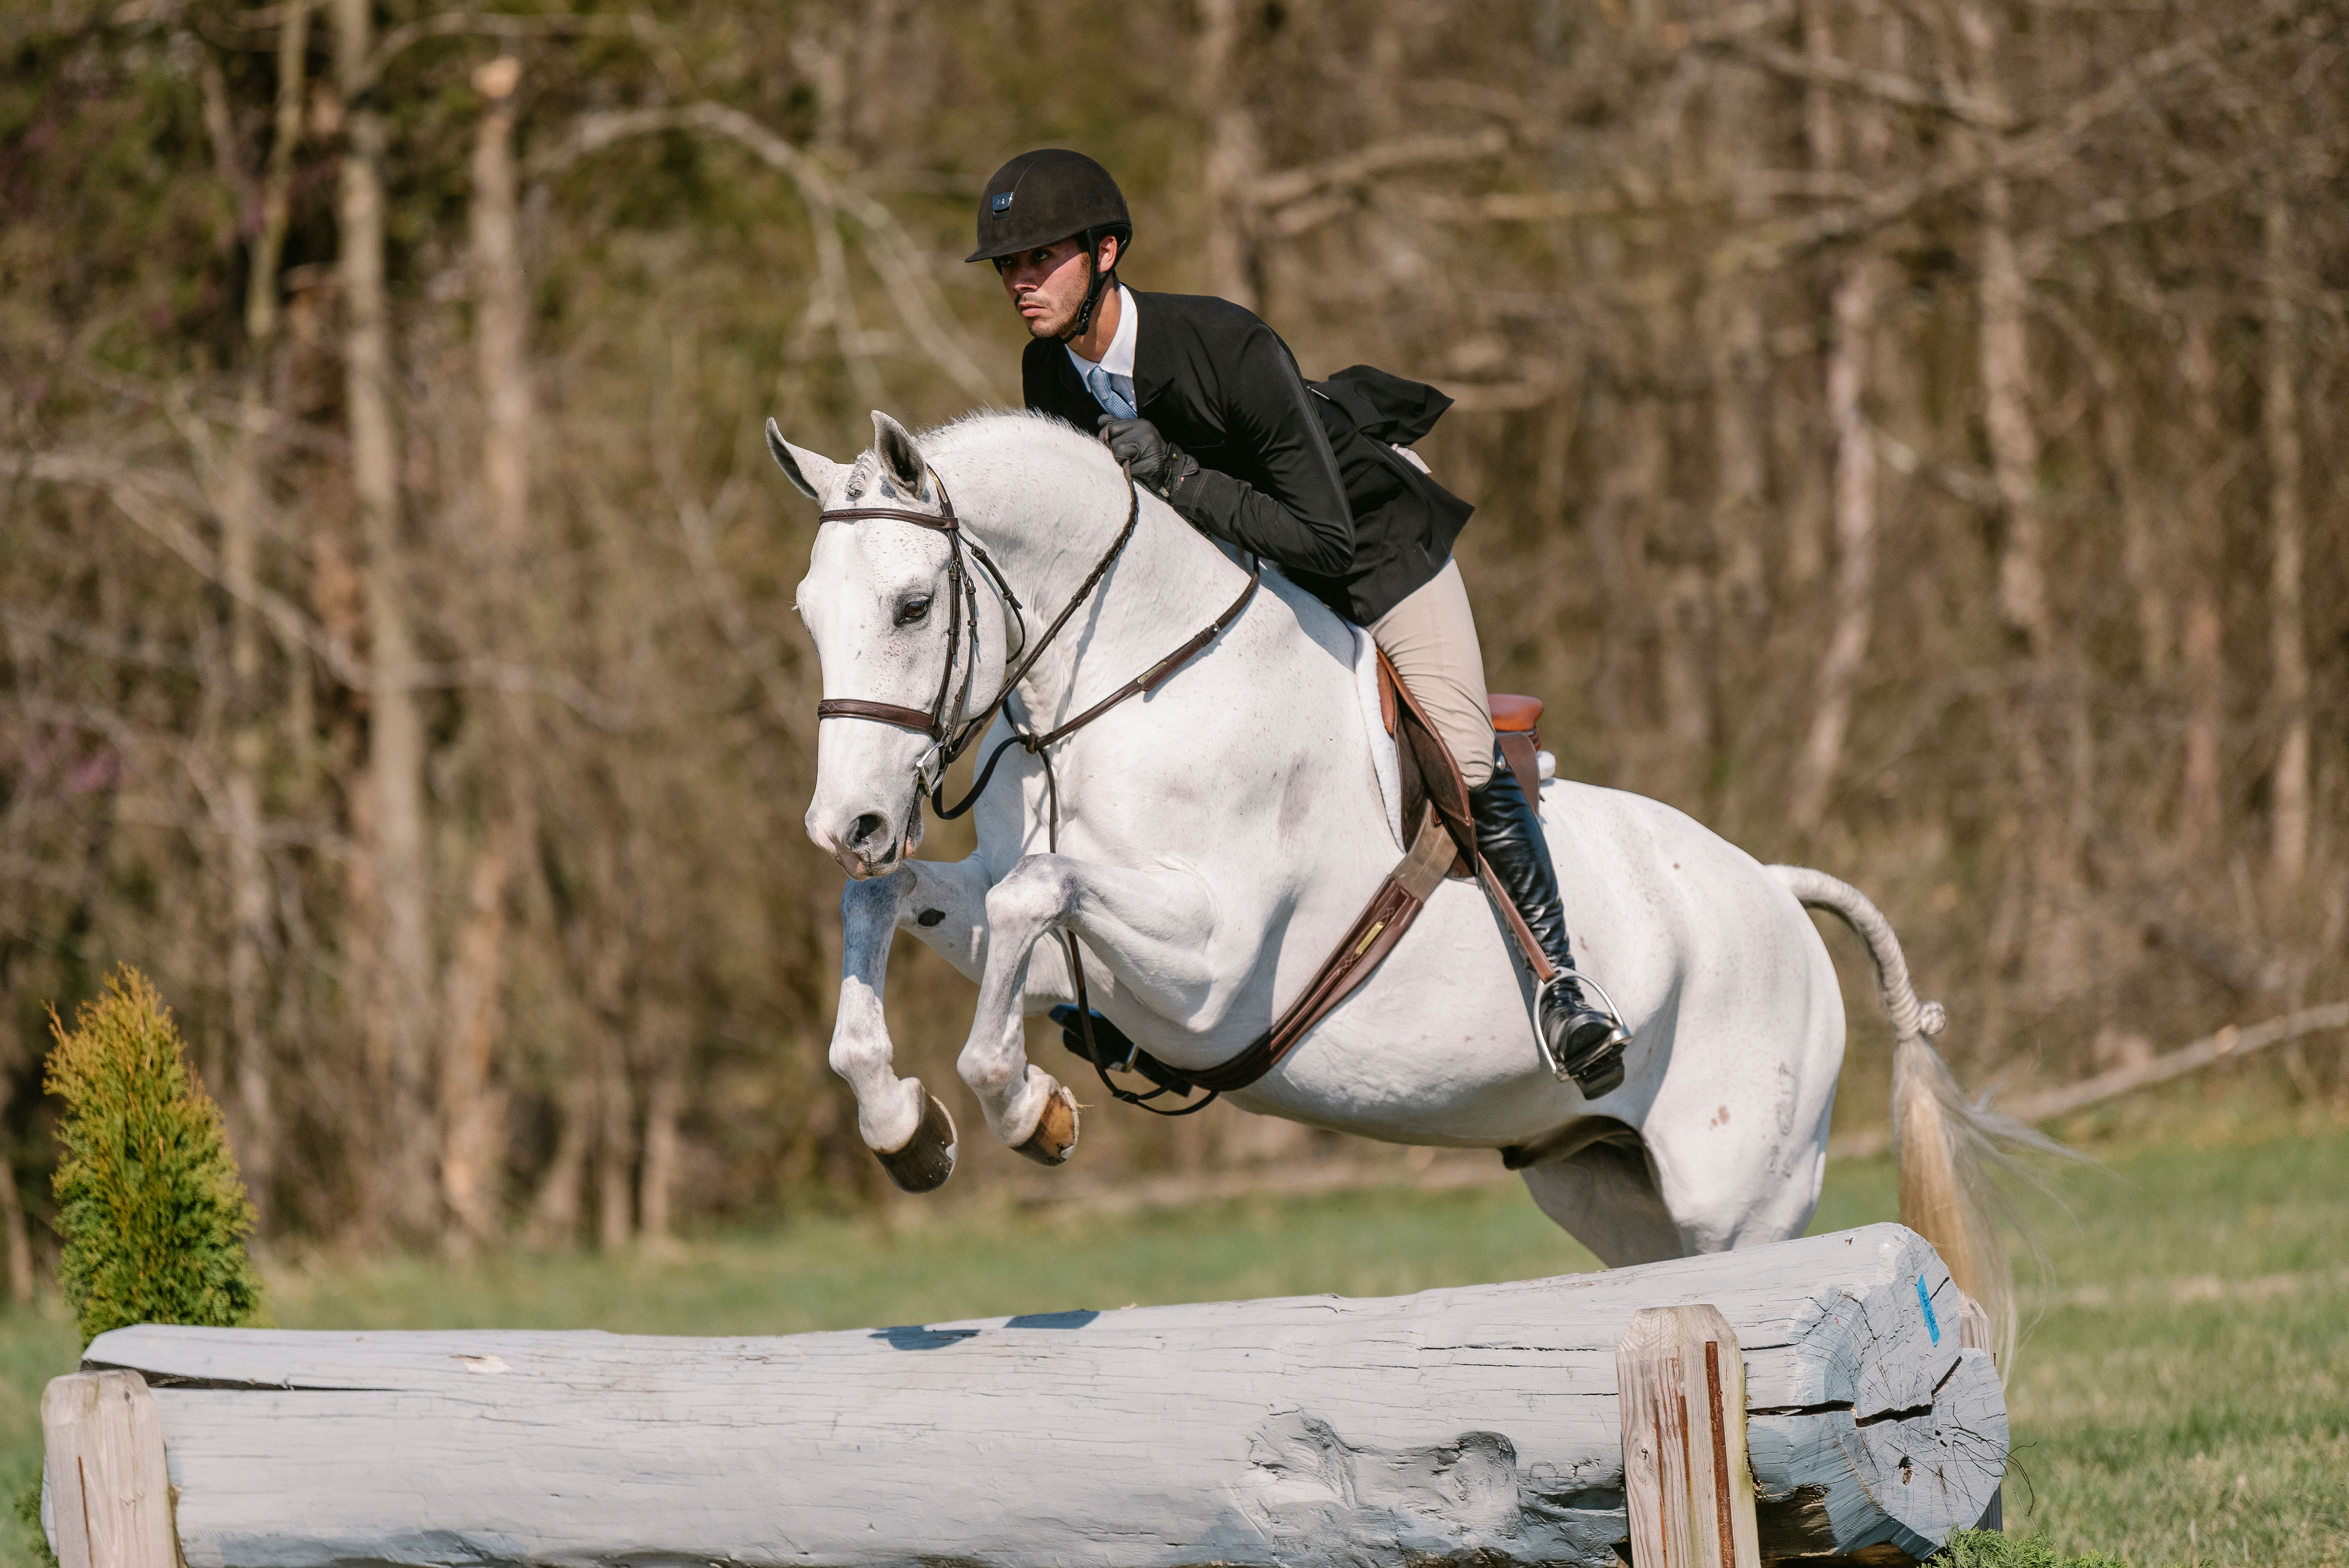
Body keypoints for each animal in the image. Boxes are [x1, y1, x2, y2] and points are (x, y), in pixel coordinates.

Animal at [772, 407, 2031, 1359]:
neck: (1119, 686)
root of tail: (1774, 887)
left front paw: (1027, 1107)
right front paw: (906, 1127)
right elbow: (895, 902)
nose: (849, 823)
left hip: (1742, 1197)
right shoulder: (1051, 947)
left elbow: (1032, 893)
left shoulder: (1209, 972)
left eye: (913, 606)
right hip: (1605, 1187)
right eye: (808, 615)